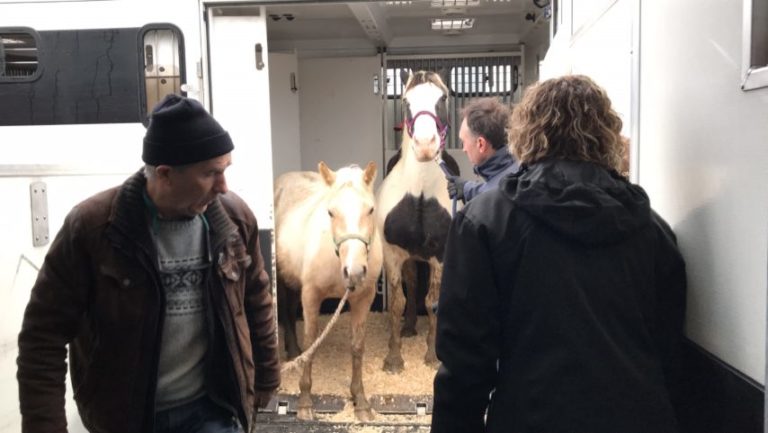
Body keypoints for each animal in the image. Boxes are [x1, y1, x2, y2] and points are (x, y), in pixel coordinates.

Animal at [275, 161, 382, 421]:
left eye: (370, 210)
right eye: (331, 212)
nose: (355, 271)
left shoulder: (363, 298)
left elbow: (357, 347)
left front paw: (360, 401)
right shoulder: (311, 296)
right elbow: (311, 343)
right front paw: (305, 402)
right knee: (286, 310)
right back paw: (293, 350)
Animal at [375, 70, 456, 373]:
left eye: (443, 97)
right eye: (406, 101)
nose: (424, 145)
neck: (420, 195)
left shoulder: (440, 257)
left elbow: (432, 302)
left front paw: (432, 356)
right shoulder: (393, 254)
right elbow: (398, 302)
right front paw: (394, 358)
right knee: (410, 284)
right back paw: (407, 328)